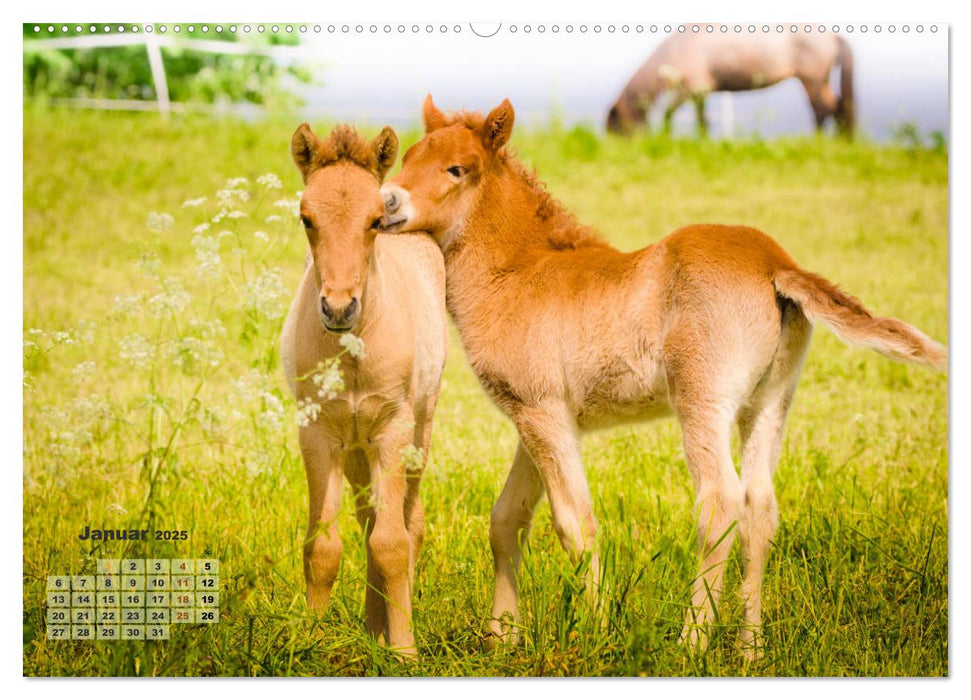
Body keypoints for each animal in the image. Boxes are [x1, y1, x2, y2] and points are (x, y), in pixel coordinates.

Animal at [280, 123, 448, 652]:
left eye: (374, 220)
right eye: (306, 218)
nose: (338, 307)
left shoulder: (392, 430)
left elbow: (393, 543)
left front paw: (405, 651)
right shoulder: (317, 434)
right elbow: (323, 545)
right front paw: (310, 644)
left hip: (417, 431)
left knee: (408, 523)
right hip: (355, 448)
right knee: (369, 517)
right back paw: (374, 627)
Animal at [382, 95, 948, 652]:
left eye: (457, 169)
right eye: (407, 157)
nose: (387, 201)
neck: (518, 273)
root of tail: (775, 263)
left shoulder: (541, 412)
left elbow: (575, 524)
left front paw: (597, 635)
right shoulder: (538, 418)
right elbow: (507, 519)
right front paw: (503, 637)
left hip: (701, 399)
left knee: (720, 504)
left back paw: (691, 641)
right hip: (770, 403)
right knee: (760, 509)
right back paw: (750, 647)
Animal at [612, 30, 856, 137]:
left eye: (615, 127)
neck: (672, 52)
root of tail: (833, 36)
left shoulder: (694, 87)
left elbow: (669, 114)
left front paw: (666, 137)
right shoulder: (700, 92)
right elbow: (702, 121)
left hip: (812, 78)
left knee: (823, 109)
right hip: (817, 79)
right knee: (837, 107)